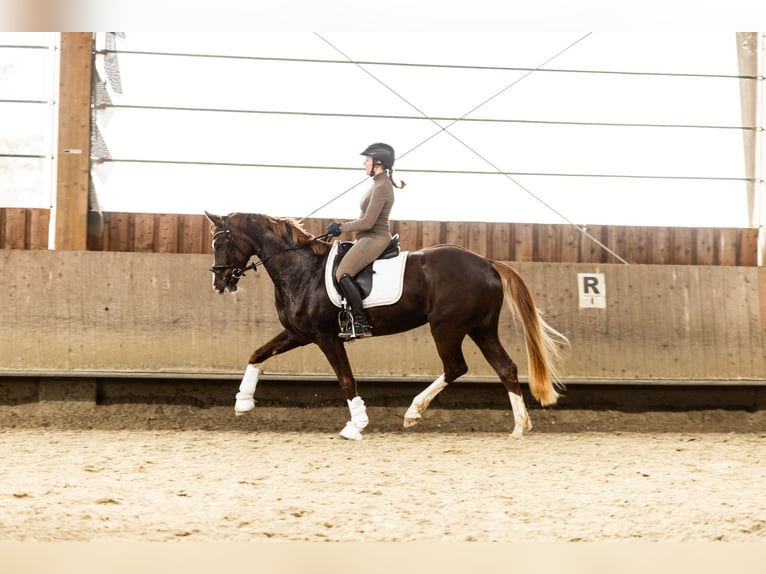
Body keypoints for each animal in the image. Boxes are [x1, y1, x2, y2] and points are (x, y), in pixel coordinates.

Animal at [205, 211, 568, 440]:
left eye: (220, 243)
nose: (220, 283)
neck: (301, 269)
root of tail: (488, 262)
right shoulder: (299, 333)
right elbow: (257, 353)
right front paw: (243, 401)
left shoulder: (326, 337)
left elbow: (346, 380)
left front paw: (356, 425)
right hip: (480, 328)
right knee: (506, 368)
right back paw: (519, 427)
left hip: (447, 327)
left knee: (456, 367)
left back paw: (413, 412)